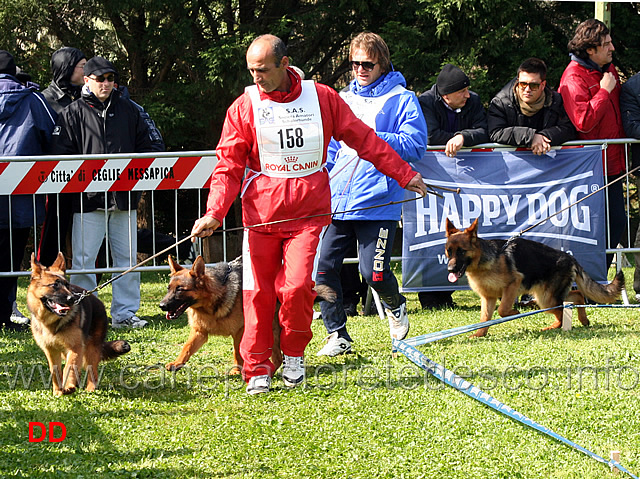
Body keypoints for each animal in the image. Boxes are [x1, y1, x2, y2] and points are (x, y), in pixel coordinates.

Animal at [28, 253, 131, 396]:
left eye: (67, 285)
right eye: (54, 285)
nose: (72, 299)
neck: (52, 322)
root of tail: (98, 302)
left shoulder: (75, 347)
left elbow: (68, 368)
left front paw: (68, 386)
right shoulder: (51, 351)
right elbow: (55, 372)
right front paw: (58, 392)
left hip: (91, 348)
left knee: (92, 370)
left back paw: (90, 389)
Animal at [159, 255, 336, 376]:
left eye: (180, 289)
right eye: (168, 288)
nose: (161, 306)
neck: (211, 302)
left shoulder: (239, 331)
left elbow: (237, 352)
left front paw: (237, 370)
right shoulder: (199, 333)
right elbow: (186, 348)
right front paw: (177, 363)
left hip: (274, 331)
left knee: (287, 353)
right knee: (278, 358)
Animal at [444, 218, 624, 338]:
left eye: (461, 251)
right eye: (449, 251)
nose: (450, 269)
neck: (483, 261)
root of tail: (570, 258)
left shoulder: (512, 285)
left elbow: (502, 310)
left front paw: (514, 312)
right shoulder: (488, 297)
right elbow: (485, 318)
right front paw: (480, 334)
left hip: (546, 299)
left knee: (563, 310)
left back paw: (560, 326)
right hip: (547, 296)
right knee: (575, 297)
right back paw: (581, 320)